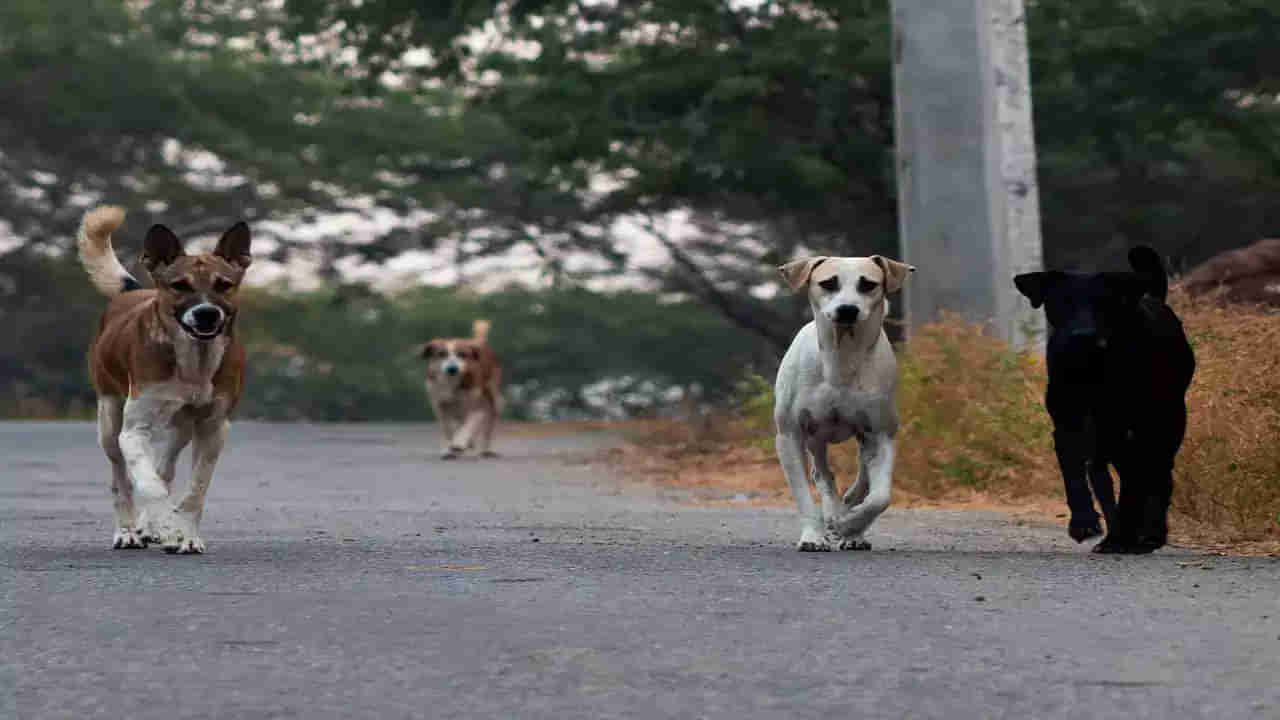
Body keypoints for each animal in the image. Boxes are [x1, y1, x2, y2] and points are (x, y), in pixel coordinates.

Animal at [80, 204, 252, 550]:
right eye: (180, 285)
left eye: (223, 284)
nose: (206, 314)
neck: (194, 363)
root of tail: (134, 291)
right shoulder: (133, 431)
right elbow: (150, 486)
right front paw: (168, 527)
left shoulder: (213, 428)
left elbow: (195, 490)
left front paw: (186, 536)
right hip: (109, 420)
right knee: (122, 479)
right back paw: (129, 531)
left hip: (181, 430)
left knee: (165, 466)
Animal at [419, 320, 499, 458]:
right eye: (441, 354)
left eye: (462, 354)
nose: (452, 368)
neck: (451, 383)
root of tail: (478, 343)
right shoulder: (439, 405)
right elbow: (448, 428)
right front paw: (449, 449)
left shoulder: (477, 407)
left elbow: (469, 425)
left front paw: (459, 443)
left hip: (493, 398)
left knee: (488, 424)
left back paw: (485, 449)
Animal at [773, 256, 916, 548]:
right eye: (828, 283)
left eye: (868, 284)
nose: (848, 309)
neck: (842, 359)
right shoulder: (789, 435)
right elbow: (803, 493)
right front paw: (813, 536)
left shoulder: (881, 433)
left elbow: (880, 497)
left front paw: (850, 525)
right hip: (815, 438)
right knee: (822, 475)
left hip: (865, 437)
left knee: (862, 479)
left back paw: (849, 522)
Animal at [1013, 243, 1192, 550]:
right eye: (1063, 301)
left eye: (1103, 303)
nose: (1082, 335)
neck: (1092, 368)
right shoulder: (1068, 424)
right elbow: (1075, 475)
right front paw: (1084, 522)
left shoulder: (1132, 430)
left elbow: (1136, 484)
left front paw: (1128, 535)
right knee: (1107, 475)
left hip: (1168, 421)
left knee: (1159, 473)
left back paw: (1149, 533)